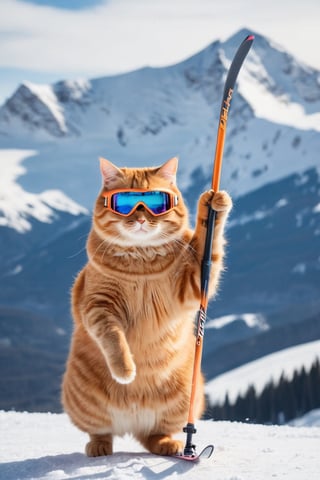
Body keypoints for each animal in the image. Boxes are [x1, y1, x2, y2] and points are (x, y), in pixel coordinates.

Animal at [62, 158, 232, 458]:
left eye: (155, 201)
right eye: (126, 203)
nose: (141, 218)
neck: (141, 260)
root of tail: (132, 422)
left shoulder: (192, 283)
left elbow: (207, 243)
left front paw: (212, 205)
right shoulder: (98, 304)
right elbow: (113, 337)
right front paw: (125, 369)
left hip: (184, 399)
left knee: (154, 435)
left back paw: (170, 444)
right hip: (86, 404)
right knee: (100, 431)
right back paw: (99, 446)